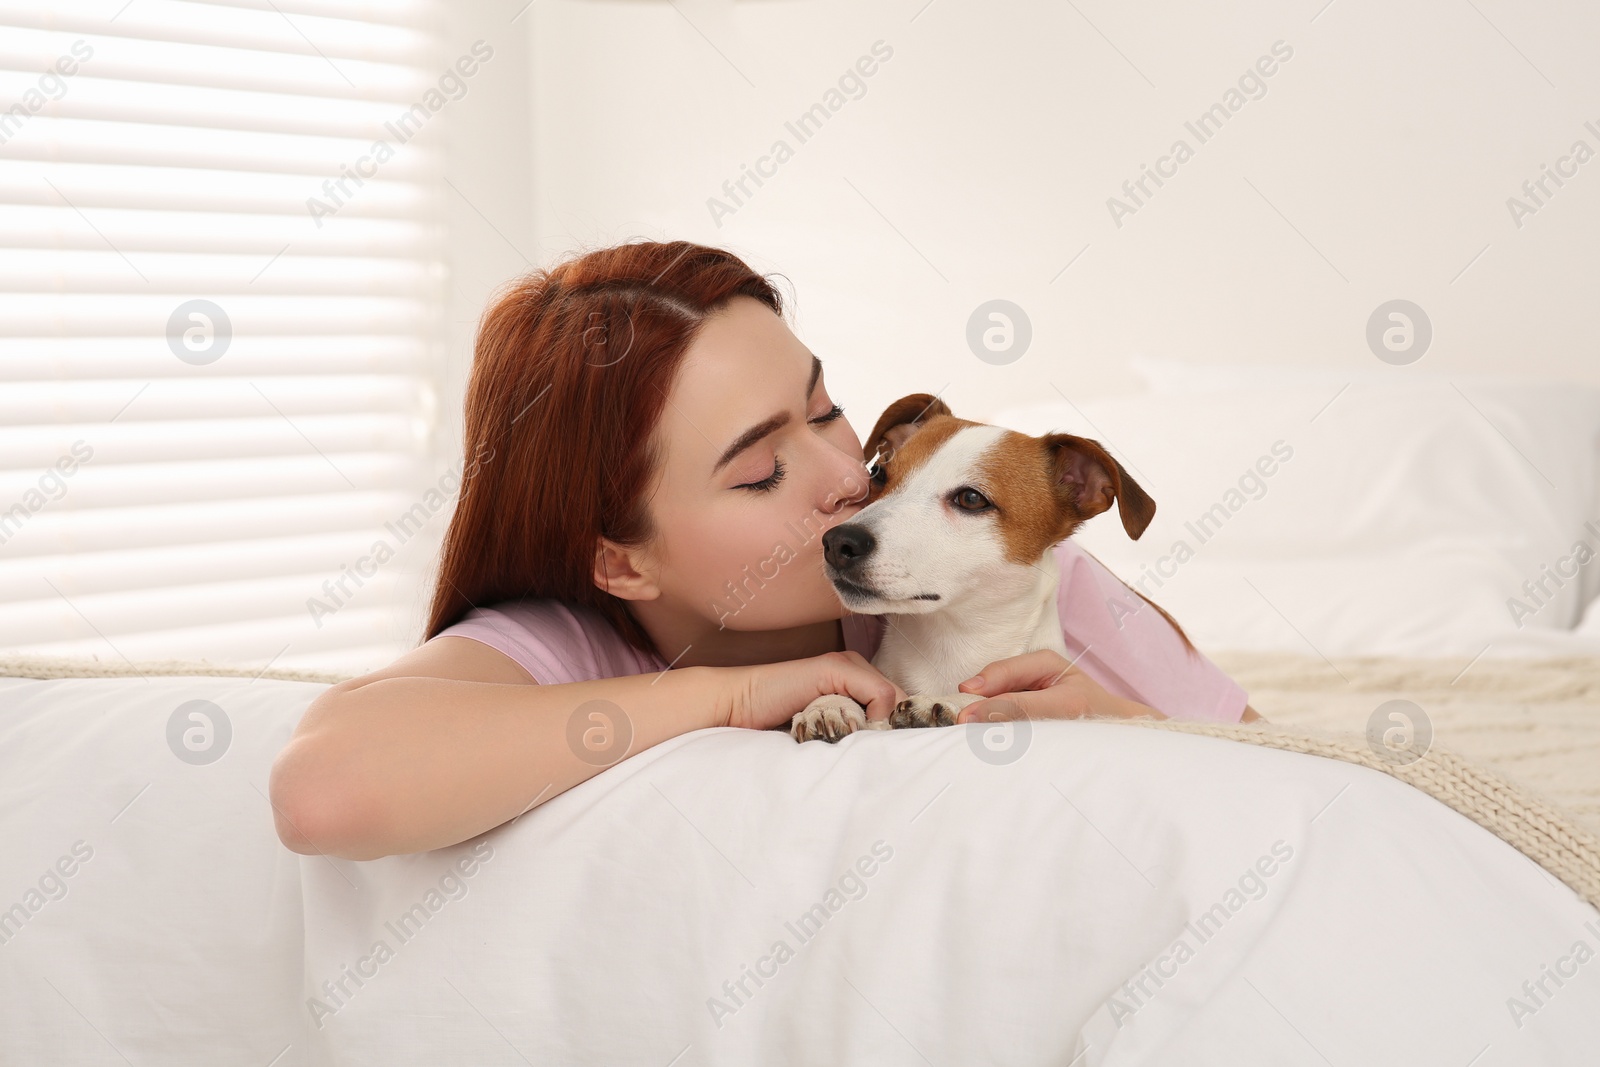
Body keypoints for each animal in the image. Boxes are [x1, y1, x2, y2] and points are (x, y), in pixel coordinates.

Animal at [787, 390, 1190, 742]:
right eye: (878, 476)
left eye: (971, 499)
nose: (839, 542)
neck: (953, 641)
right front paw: (831, 704)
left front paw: (947, 701)